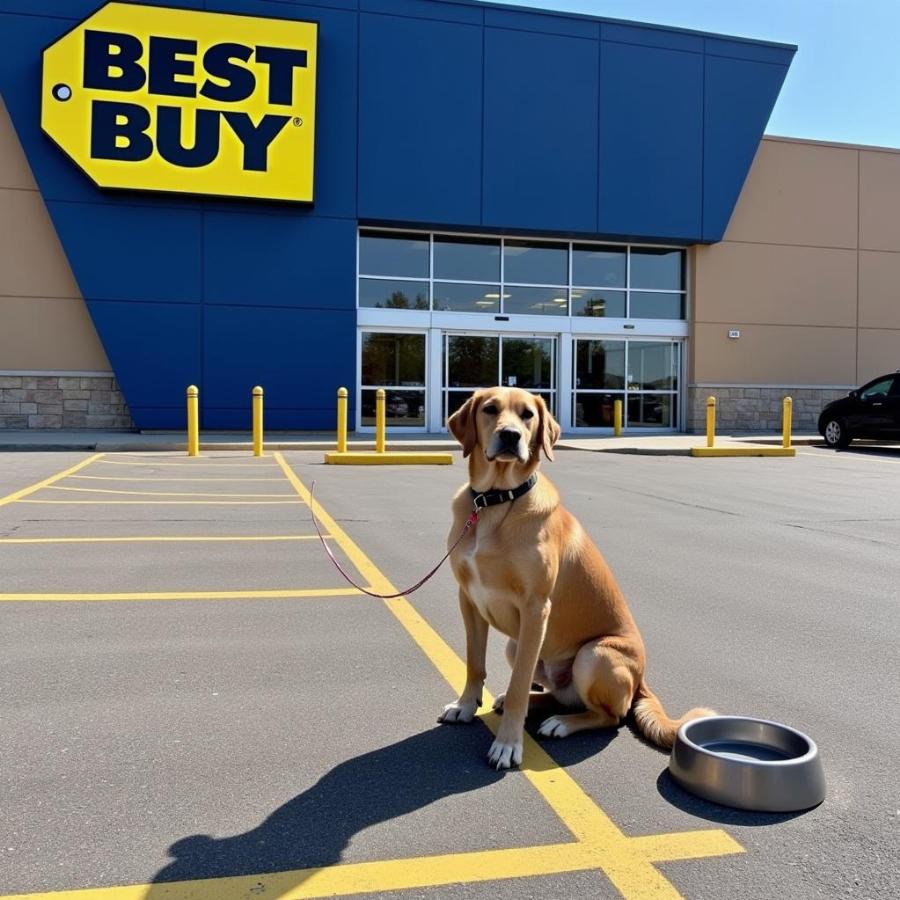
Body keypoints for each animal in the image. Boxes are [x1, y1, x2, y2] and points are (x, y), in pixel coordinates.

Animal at [440, 384, 712, 768]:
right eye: (490, 409)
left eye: (528, 415)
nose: (510, 436)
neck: (495, 501)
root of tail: (642, 681)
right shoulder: (469, 600)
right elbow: (475, 664)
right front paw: (466, 705)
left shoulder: (536, 608)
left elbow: (521, 682)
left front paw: (508, 744)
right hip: (516, 645)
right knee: (558, 694)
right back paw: (528, 703)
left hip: (594, 654)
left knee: (610, 716)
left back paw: (561, 723)